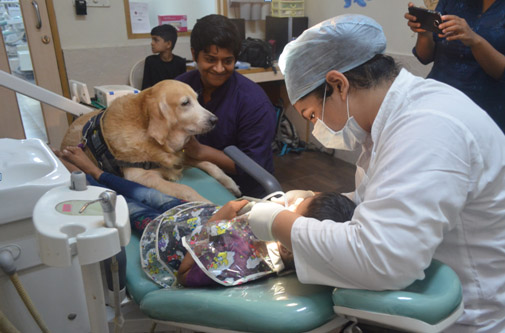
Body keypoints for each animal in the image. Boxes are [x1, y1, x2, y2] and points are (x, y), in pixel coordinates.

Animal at [60, 79, 241, 201]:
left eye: (197, 99)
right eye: (185, 103)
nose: (215, 120)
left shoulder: (177, 158)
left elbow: (210, 164)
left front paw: (231, 183)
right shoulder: (141, 177)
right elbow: (185, 189)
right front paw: (209, 204)